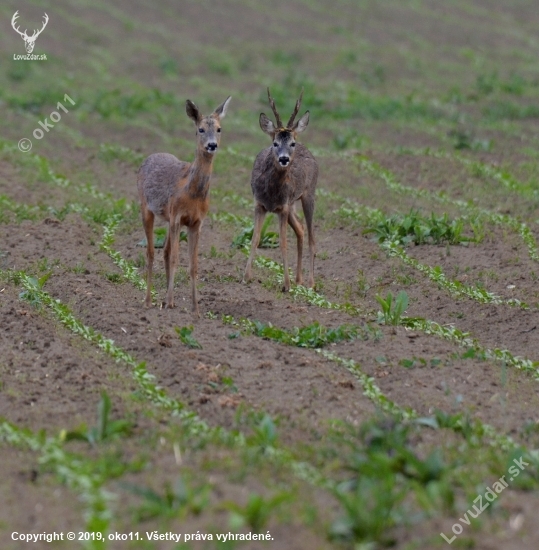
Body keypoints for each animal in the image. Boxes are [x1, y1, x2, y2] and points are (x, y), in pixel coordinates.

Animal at [136, 97, 231, 316]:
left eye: (219, 129)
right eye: (200, 129)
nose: (212, 145)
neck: (192, 192)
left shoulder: (195, 222)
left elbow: (193, 264)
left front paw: (195, 308)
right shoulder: (178, 216)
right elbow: (175, 258)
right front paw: (170, 302)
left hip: (168, 218)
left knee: (164, 251)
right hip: (146, 208)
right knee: (151, 252)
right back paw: (148, 301)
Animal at [244, 88, 316, 292]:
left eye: (291, 143)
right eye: (275, 143)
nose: (284, 159)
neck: (271, 193)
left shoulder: (282, 208)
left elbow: (283, 244)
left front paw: (286, 285)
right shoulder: (259, 204)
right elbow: (255, 238)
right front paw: (246, 277)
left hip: (309, 195)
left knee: (312, 237)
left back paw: (310, 283)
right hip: (291, 205)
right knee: (300, 229)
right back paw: (299, 279)